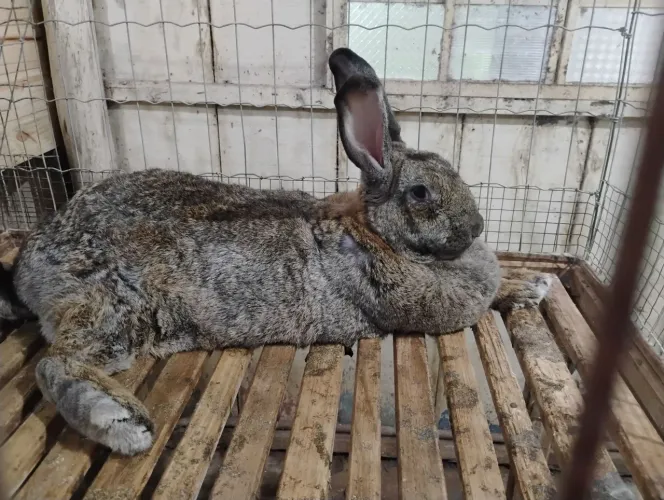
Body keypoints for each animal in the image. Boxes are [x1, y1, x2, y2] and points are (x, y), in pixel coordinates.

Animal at [0, 48, 551, 456]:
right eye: (420, 193)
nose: (477, 226)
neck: (374, 232)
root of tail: (29, 265)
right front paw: (525, 286)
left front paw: (534, 285)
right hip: (114, 309)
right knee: (54, 363)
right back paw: (120, 424)